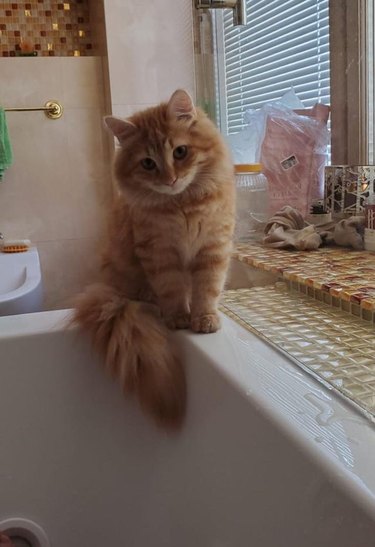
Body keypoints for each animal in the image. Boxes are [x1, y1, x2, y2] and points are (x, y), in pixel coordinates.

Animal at [73, 90, 235, 430]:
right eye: (148, 163)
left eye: (180, 152)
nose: (170, 179)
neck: (183, 203)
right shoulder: (160, 253)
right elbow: (172, 290)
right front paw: (178, 317)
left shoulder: (213, 247)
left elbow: (207, 288)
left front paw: (205, 317)